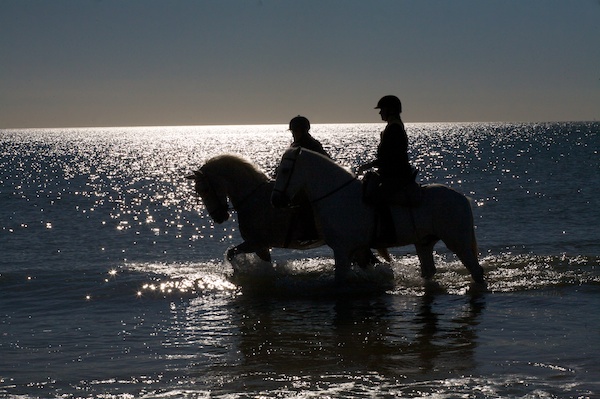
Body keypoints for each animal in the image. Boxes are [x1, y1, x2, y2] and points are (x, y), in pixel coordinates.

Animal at [185, 155, 386, 268]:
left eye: (204, 189)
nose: (218, 217)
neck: (253, 198)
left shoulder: (256, 243)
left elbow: (232, 253)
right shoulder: (261, 246)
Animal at [272, 148, 488, 286]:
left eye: (285, 170)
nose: (276, 201)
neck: (338, 196)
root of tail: (462, 198)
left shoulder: (342, 250)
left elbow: (340, 280)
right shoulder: (357, 250)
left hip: (457, 242)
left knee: (476, 271)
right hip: (424, 242)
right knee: (429, 270)